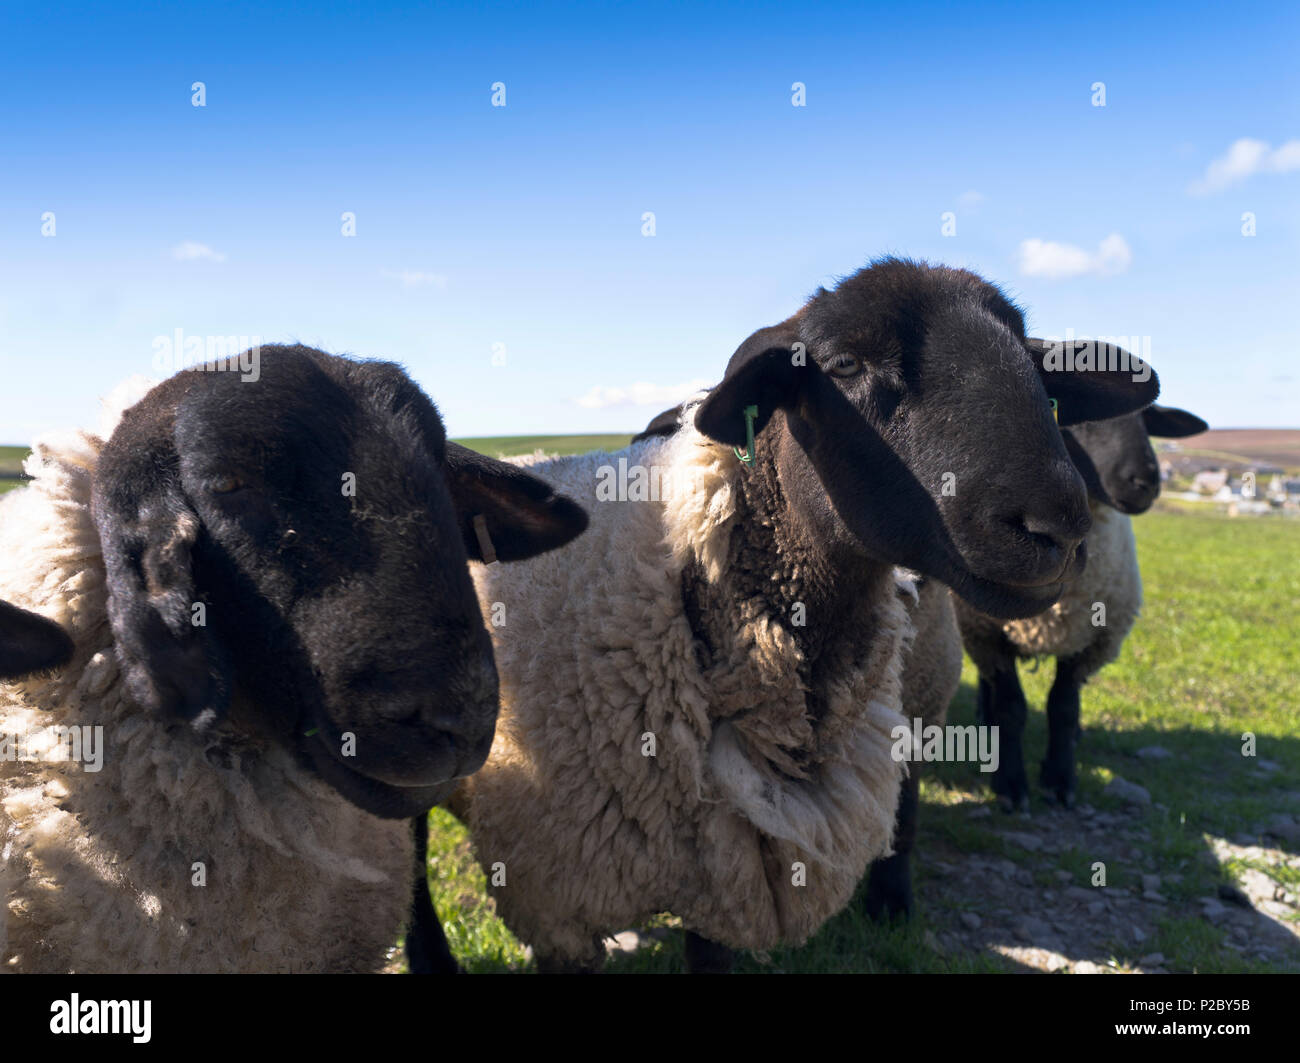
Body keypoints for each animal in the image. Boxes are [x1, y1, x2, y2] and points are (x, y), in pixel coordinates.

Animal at [951, 387, 1201, 805]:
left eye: (1148, 419)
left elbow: (1063, 707)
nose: (1146, 480)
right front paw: (1010, 784)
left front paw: (1059, 778)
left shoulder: (1094, 641)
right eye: (1085, 415)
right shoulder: (986, 632)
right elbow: (1011, 707)